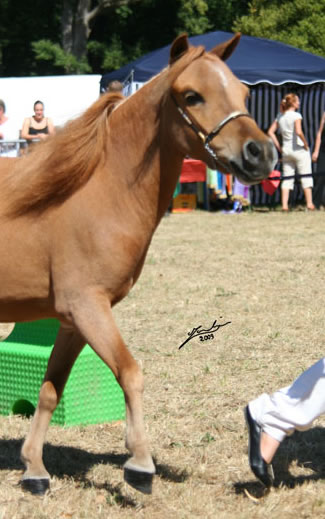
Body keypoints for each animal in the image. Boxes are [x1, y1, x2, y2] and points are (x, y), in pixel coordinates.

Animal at [0, 33, 274, 496]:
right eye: (192, 95)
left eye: (243, 93)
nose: (262, 154)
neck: (97, 191)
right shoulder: (88, 309)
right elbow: (130, 373)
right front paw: (140, 463)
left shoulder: (74, 322)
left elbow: (51, 389)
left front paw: (34, 468)